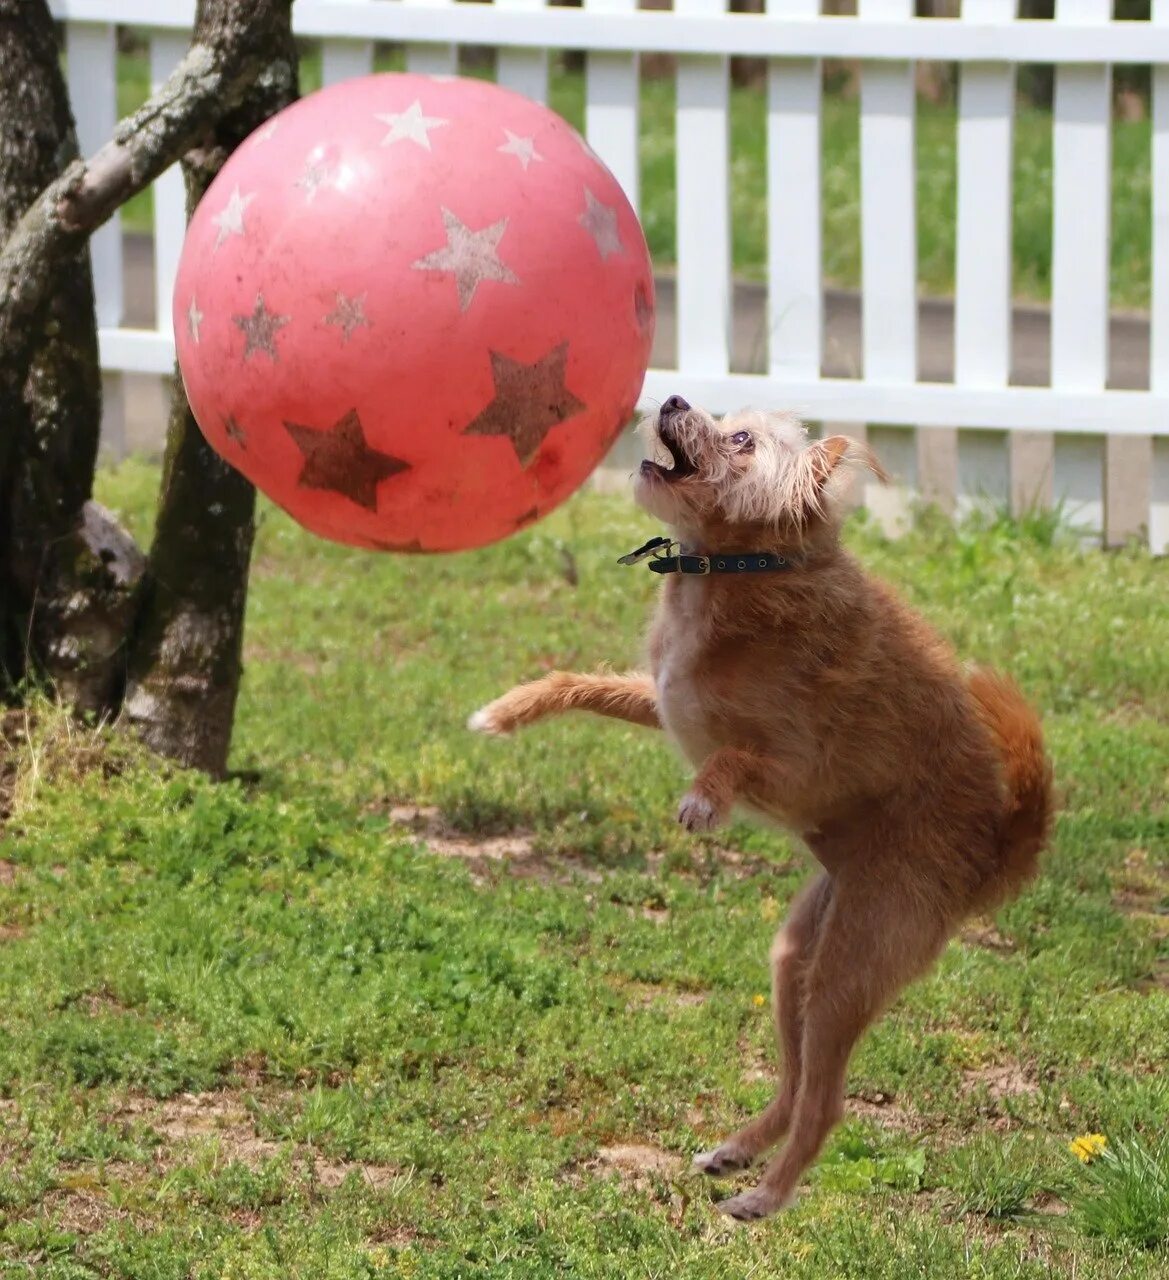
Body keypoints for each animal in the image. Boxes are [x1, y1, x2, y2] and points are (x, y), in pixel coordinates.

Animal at [468, 396, 1055, 1218]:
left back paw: (766, 1195)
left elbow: (732, 758)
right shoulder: (664, 700)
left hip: (849, 968)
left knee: (826, 1104)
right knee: (795, 1081)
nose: (674, 400)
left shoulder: (798, 766)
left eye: (741, 438)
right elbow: (583, 683)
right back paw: (737, 1149)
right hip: (797, 955)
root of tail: (998, 850)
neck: (731, 570)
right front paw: (508, 710)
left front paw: (703, 801)